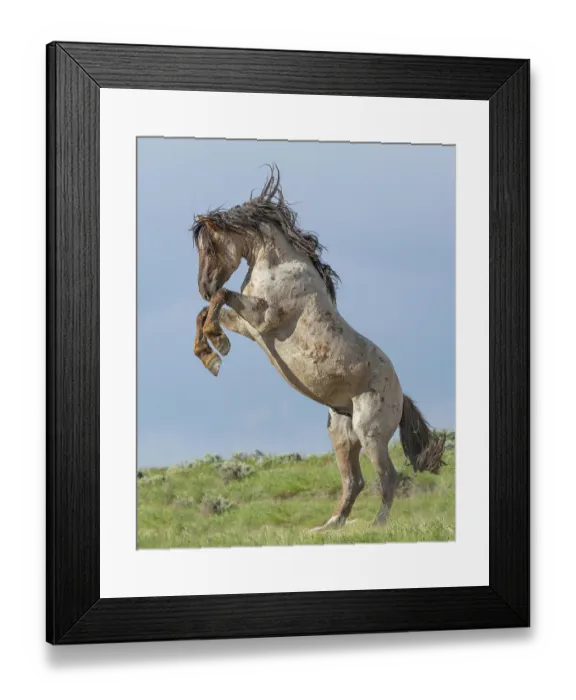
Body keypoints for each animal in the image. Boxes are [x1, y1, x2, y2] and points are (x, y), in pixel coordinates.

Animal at [191, 166, 445, 531]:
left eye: (210, 247)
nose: (202, 286)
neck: (278, 265)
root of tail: (401, 394)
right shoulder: (251, 329)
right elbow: (208, 310)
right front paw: (211, 353)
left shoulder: (263, 319)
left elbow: (221, 298)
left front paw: (215, 346)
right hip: (342, 435)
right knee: (354, 481)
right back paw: (329, 525)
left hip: (370, 434)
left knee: (388, 476)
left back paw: (377, 524)